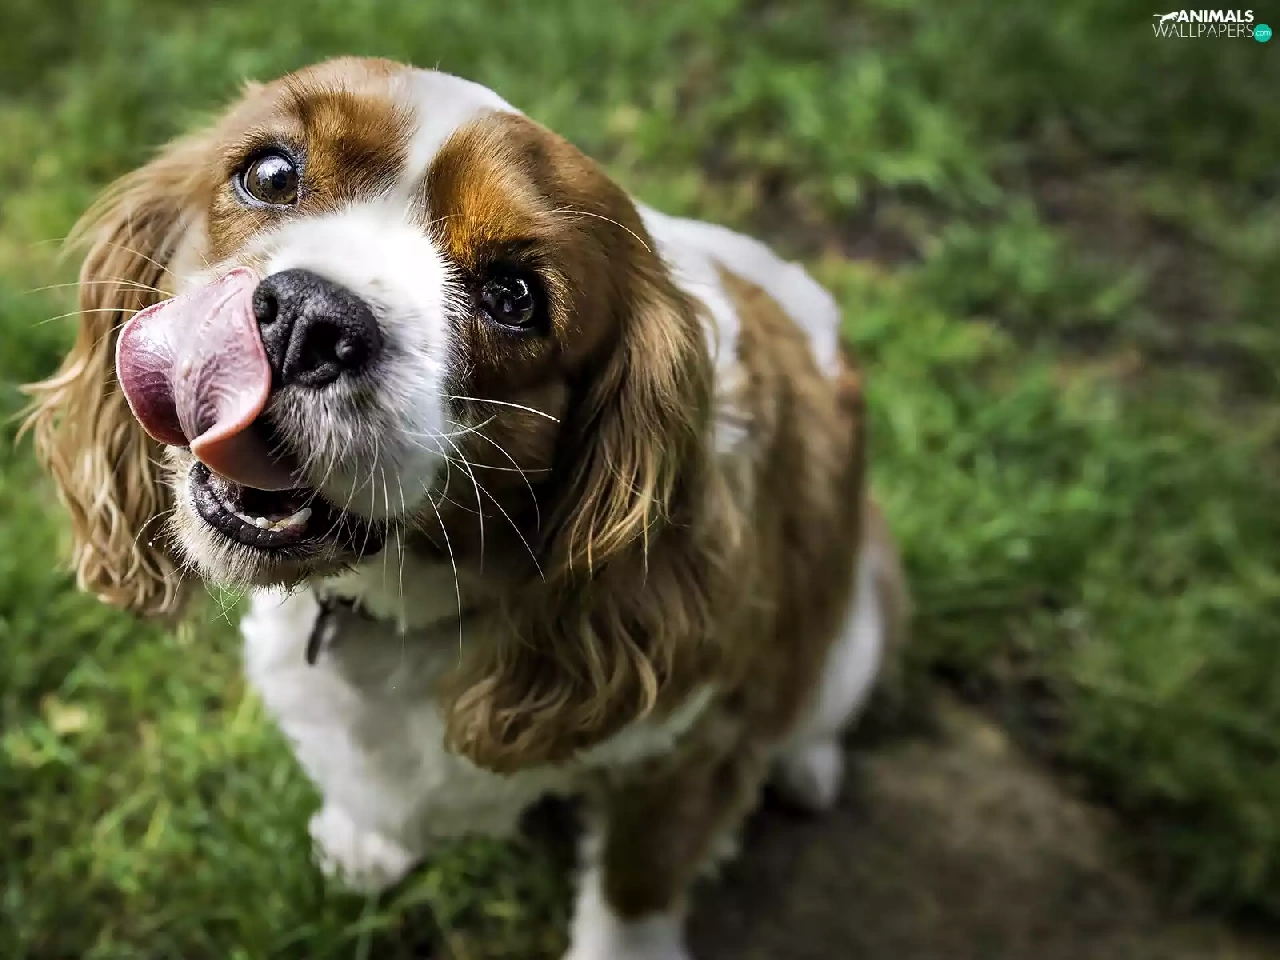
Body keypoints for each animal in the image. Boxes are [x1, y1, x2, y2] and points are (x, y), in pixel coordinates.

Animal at [28, 58, 908, 960]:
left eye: (513, 296)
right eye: (270, 174)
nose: (308, 317)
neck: (402, 598)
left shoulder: (697, 741)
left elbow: (637, 881)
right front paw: (368, 842)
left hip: (856, 621)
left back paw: (808, 763)